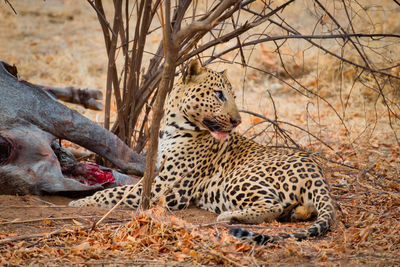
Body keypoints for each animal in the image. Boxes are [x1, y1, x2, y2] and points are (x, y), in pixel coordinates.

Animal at [69, 60, 334, 245]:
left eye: (232, 96)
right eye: (219, 94)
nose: (237, 121)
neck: (173, 126)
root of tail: (317, 171)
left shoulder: (169, 188)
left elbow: (118, 193)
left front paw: (82, 202)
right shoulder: (159, 174)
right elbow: (123, 187)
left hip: (237, 178)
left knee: (273, 206)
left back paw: (229, 217)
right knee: (298, 209)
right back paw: (294, 214)